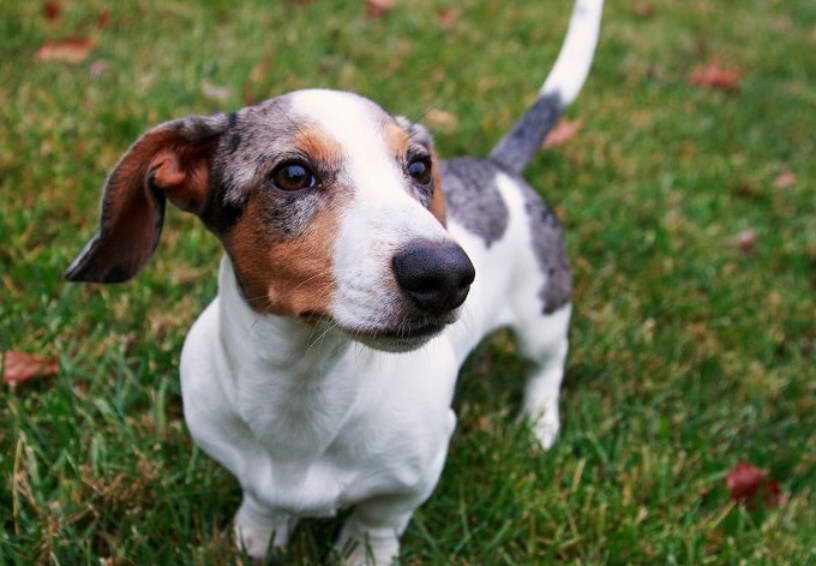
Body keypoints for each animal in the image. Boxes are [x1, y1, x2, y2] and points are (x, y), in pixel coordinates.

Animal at [67, 2, 604, 564]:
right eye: (292, 174)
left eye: (419, 166)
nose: (447, 274)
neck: (306, 383)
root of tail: (499, 168)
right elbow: (261, 498)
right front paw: (258, 533)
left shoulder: (417, 470)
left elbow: (380, 517)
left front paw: (363, 551)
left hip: (543, 314)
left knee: (546, 365)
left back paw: (539, 426)